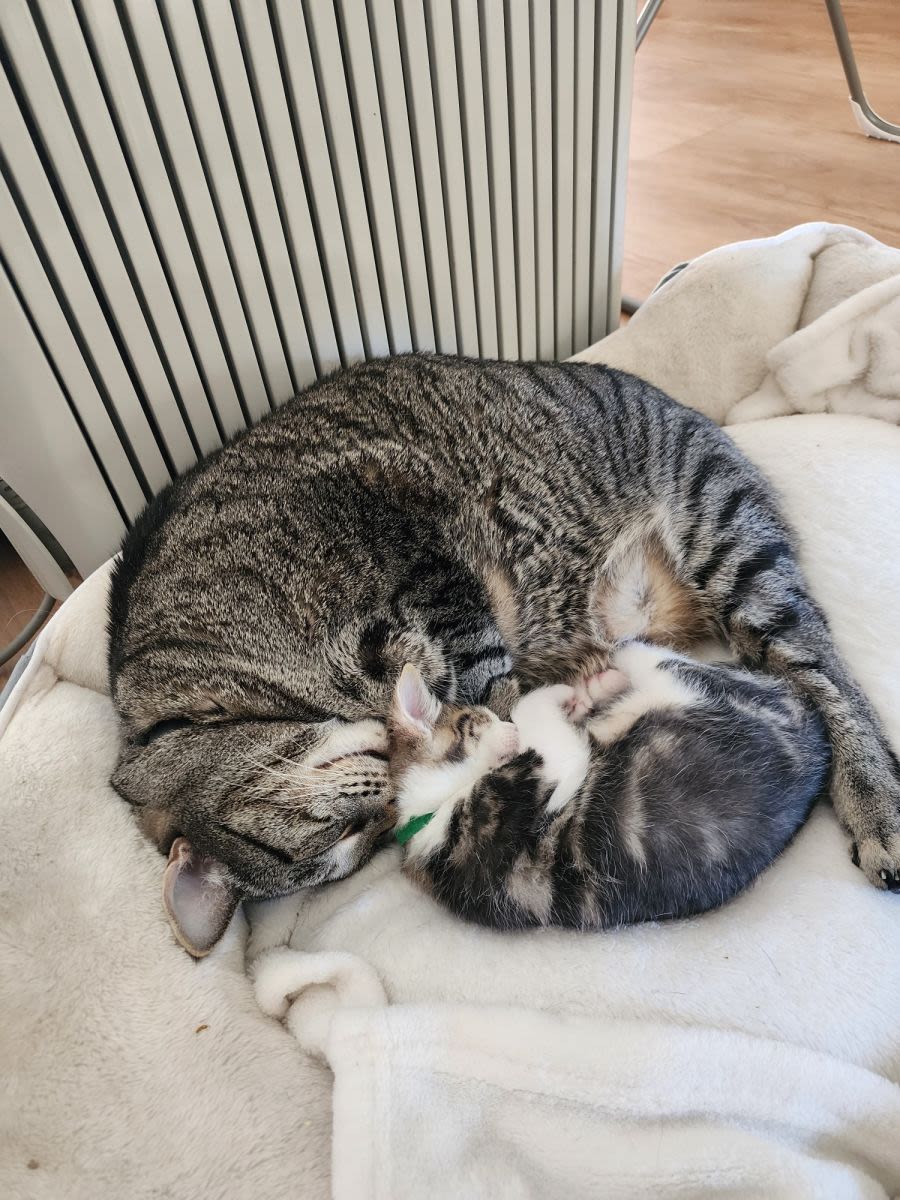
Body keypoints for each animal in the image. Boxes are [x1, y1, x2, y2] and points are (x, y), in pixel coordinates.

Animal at [391, 643, 835, 931]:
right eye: (482, 719)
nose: (507, 728)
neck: (432, 810)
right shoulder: (531, 786)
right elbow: (533, 711)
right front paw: (560, 696)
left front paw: (575, 702)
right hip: (694, 689)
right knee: (650, 656)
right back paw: (610, 671)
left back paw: (600, 690)